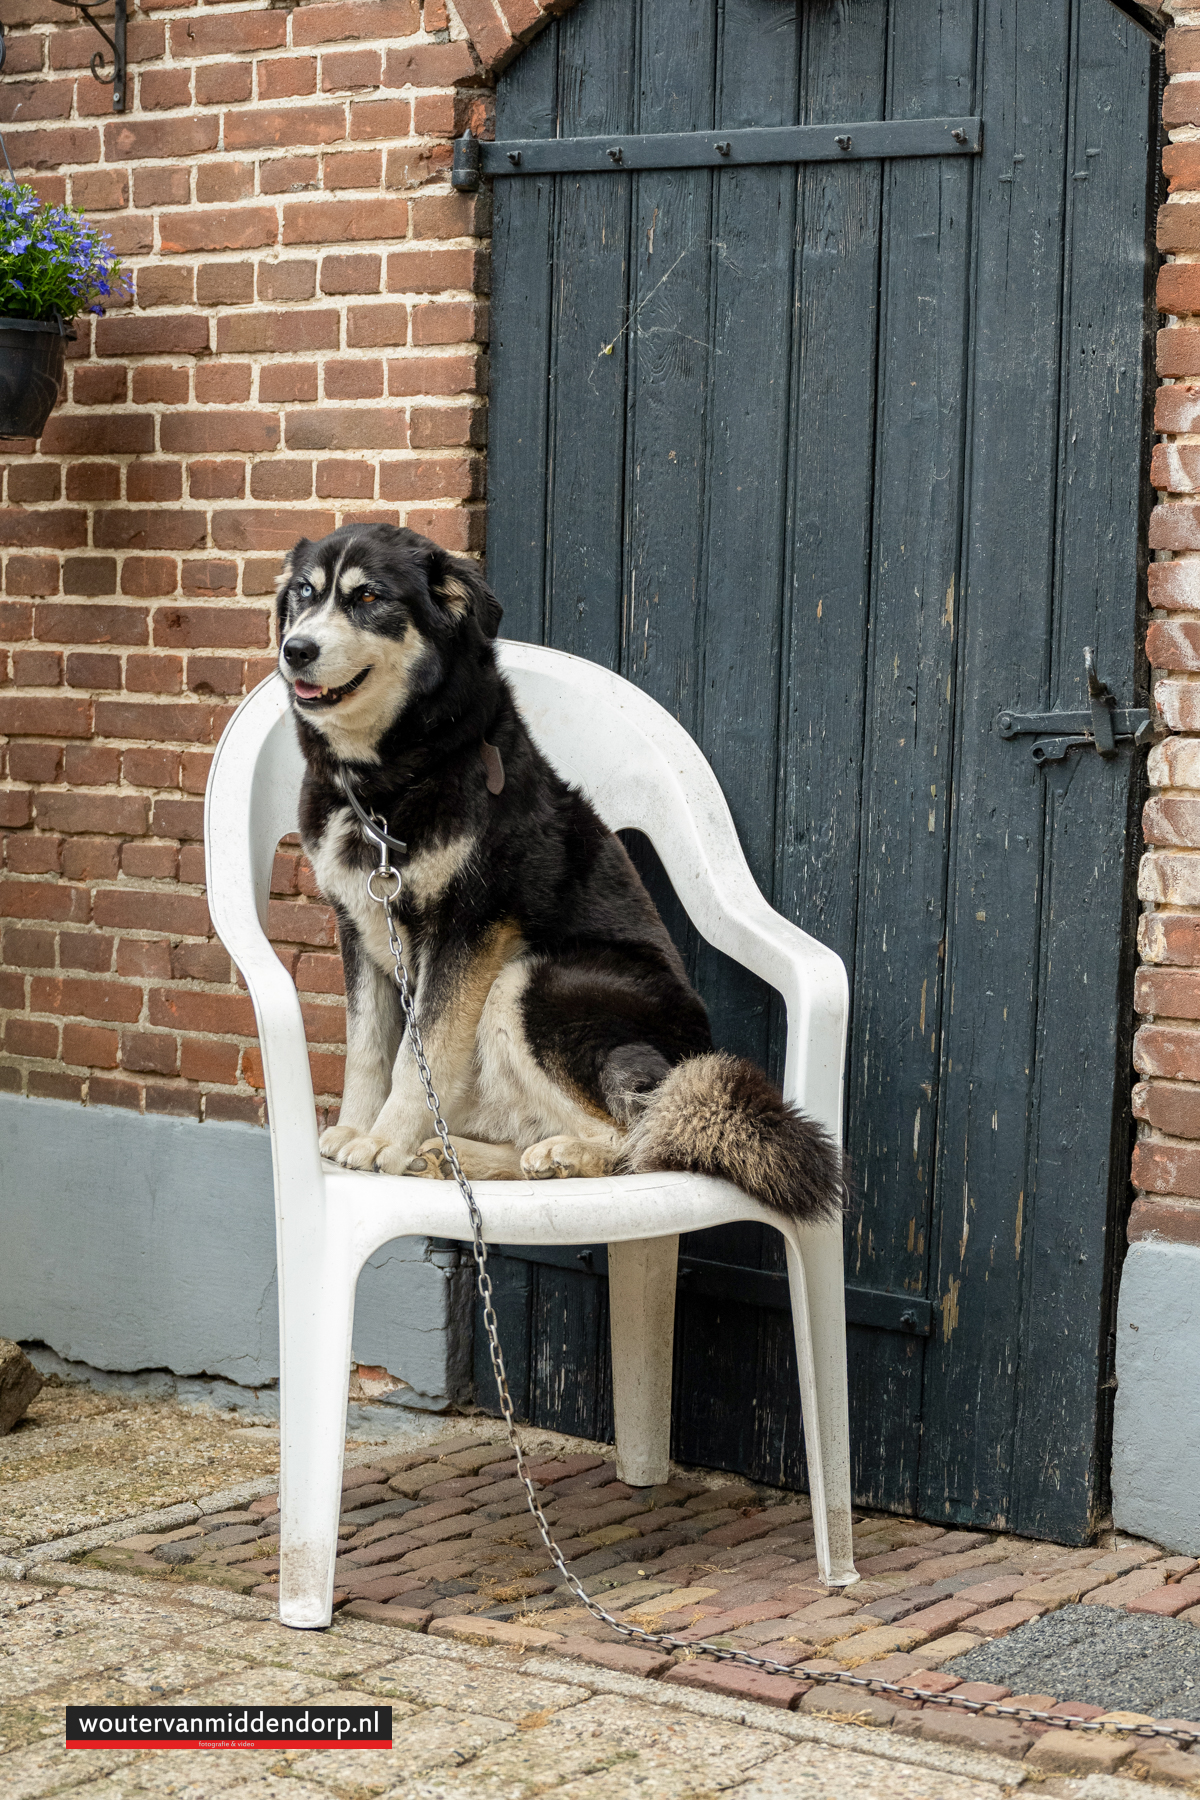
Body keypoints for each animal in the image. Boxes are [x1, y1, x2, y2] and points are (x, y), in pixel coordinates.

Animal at [278, 522, 845, 1224]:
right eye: (305, 594)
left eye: (368, 598)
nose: (294, 649)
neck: (393, 780)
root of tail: (695, 1054)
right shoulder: (359, 924)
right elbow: (366, 1047)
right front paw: (360, 1129)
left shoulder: (470, 928)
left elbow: (421, 1052)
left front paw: (384, 1139)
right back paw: (452, 1157)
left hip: (533, 979)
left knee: (641, 1138)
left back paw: (557, 1155)